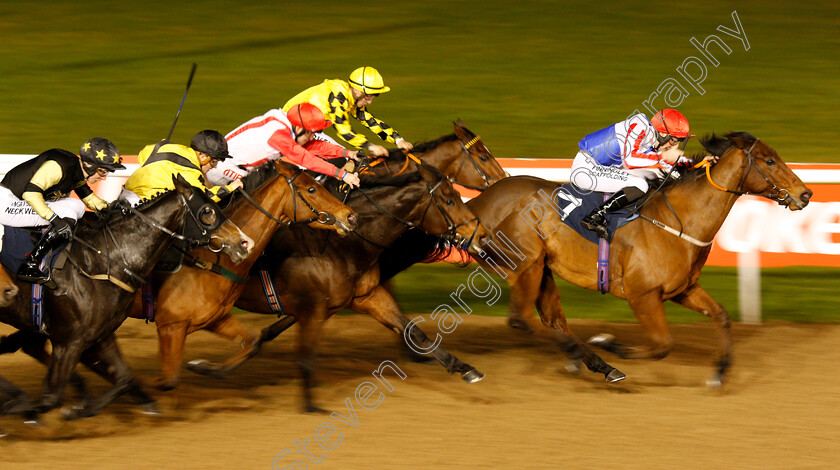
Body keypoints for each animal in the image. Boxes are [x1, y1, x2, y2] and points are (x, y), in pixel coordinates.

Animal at [0, 175, 253, 418]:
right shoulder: (68, 342)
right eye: (207, 211)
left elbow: (123, 379)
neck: (105, 259)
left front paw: (81, 408)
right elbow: (49, 399)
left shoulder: (100, 335)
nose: (244, 243)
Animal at [132, 160, 358, 392]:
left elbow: (252, 343)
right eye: (312, 189)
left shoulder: (214, 318)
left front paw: (204, 366)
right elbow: (163, 380)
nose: (350, 216)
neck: (212, 257)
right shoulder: (171, 325)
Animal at [189, 162, 492, 412]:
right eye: (450, 200)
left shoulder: (367, 296)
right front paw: (311, 407)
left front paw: (464, 368)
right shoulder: (312, 308)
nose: (482, 235)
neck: (344, 244)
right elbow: (304, 356)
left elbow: (414, 332)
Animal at [436, 132, 812, 386]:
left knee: (549, 321)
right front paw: (611, 343)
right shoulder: (641, 294)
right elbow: (662, 345)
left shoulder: (683, 290)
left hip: (542, 268)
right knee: (522, 320)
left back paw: (588, 361)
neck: (679, 220)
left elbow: (721, 316)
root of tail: (476, 204)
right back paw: (594, 359)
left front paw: (719, 373)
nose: (805, 193)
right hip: (523, 264)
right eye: (769, 160)